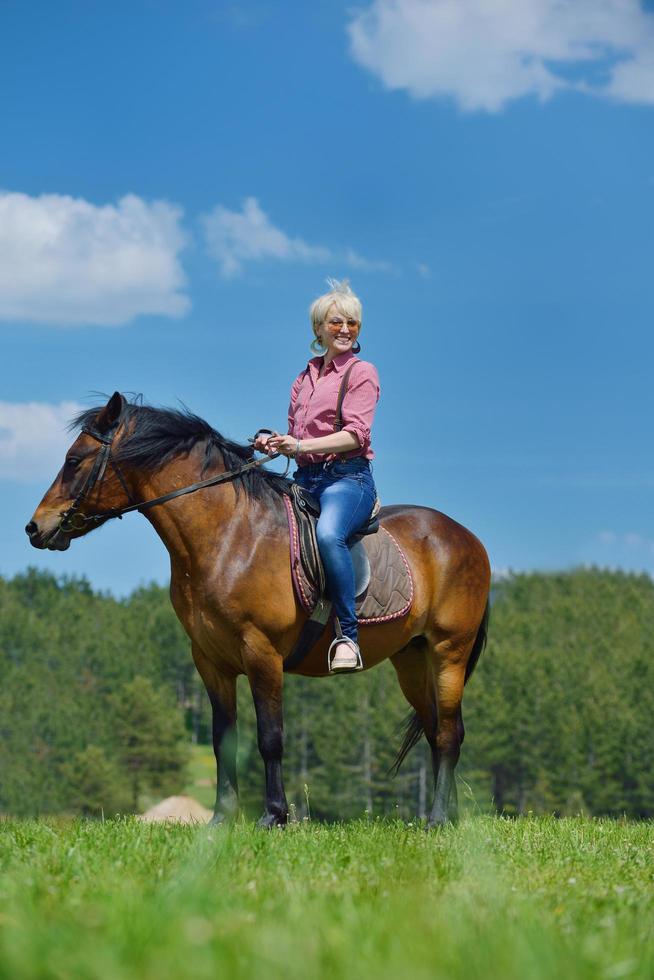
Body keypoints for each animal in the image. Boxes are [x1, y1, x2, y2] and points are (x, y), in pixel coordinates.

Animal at [25, 390, 492, 828]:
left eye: (74, 460)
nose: (35, 528)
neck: (229, 535)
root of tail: (466, 538)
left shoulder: (261, 652)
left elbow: (270, 737)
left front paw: (274, 816)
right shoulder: (209, 659)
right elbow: (222, 739)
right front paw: (221, 818)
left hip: (448, 651)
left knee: (448, 734)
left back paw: (437, 819)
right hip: (411, 658)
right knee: (436, 729)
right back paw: (448, 817)